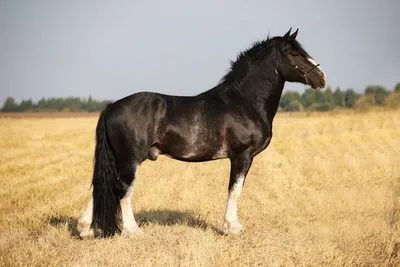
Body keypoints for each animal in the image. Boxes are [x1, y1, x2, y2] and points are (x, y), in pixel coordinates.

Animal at [77, 28, 324, 239]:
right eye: (293, 53)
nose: (321, 78)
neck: (244, 102)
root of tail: (111, 107)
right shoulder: (242, 156)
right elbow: (235, 190)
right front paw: (232, 227)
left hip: (119, 159)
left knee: (103, 186)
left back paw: (85, 229)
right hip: (130, 159)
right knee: (122, 189)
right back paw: (132, 230)